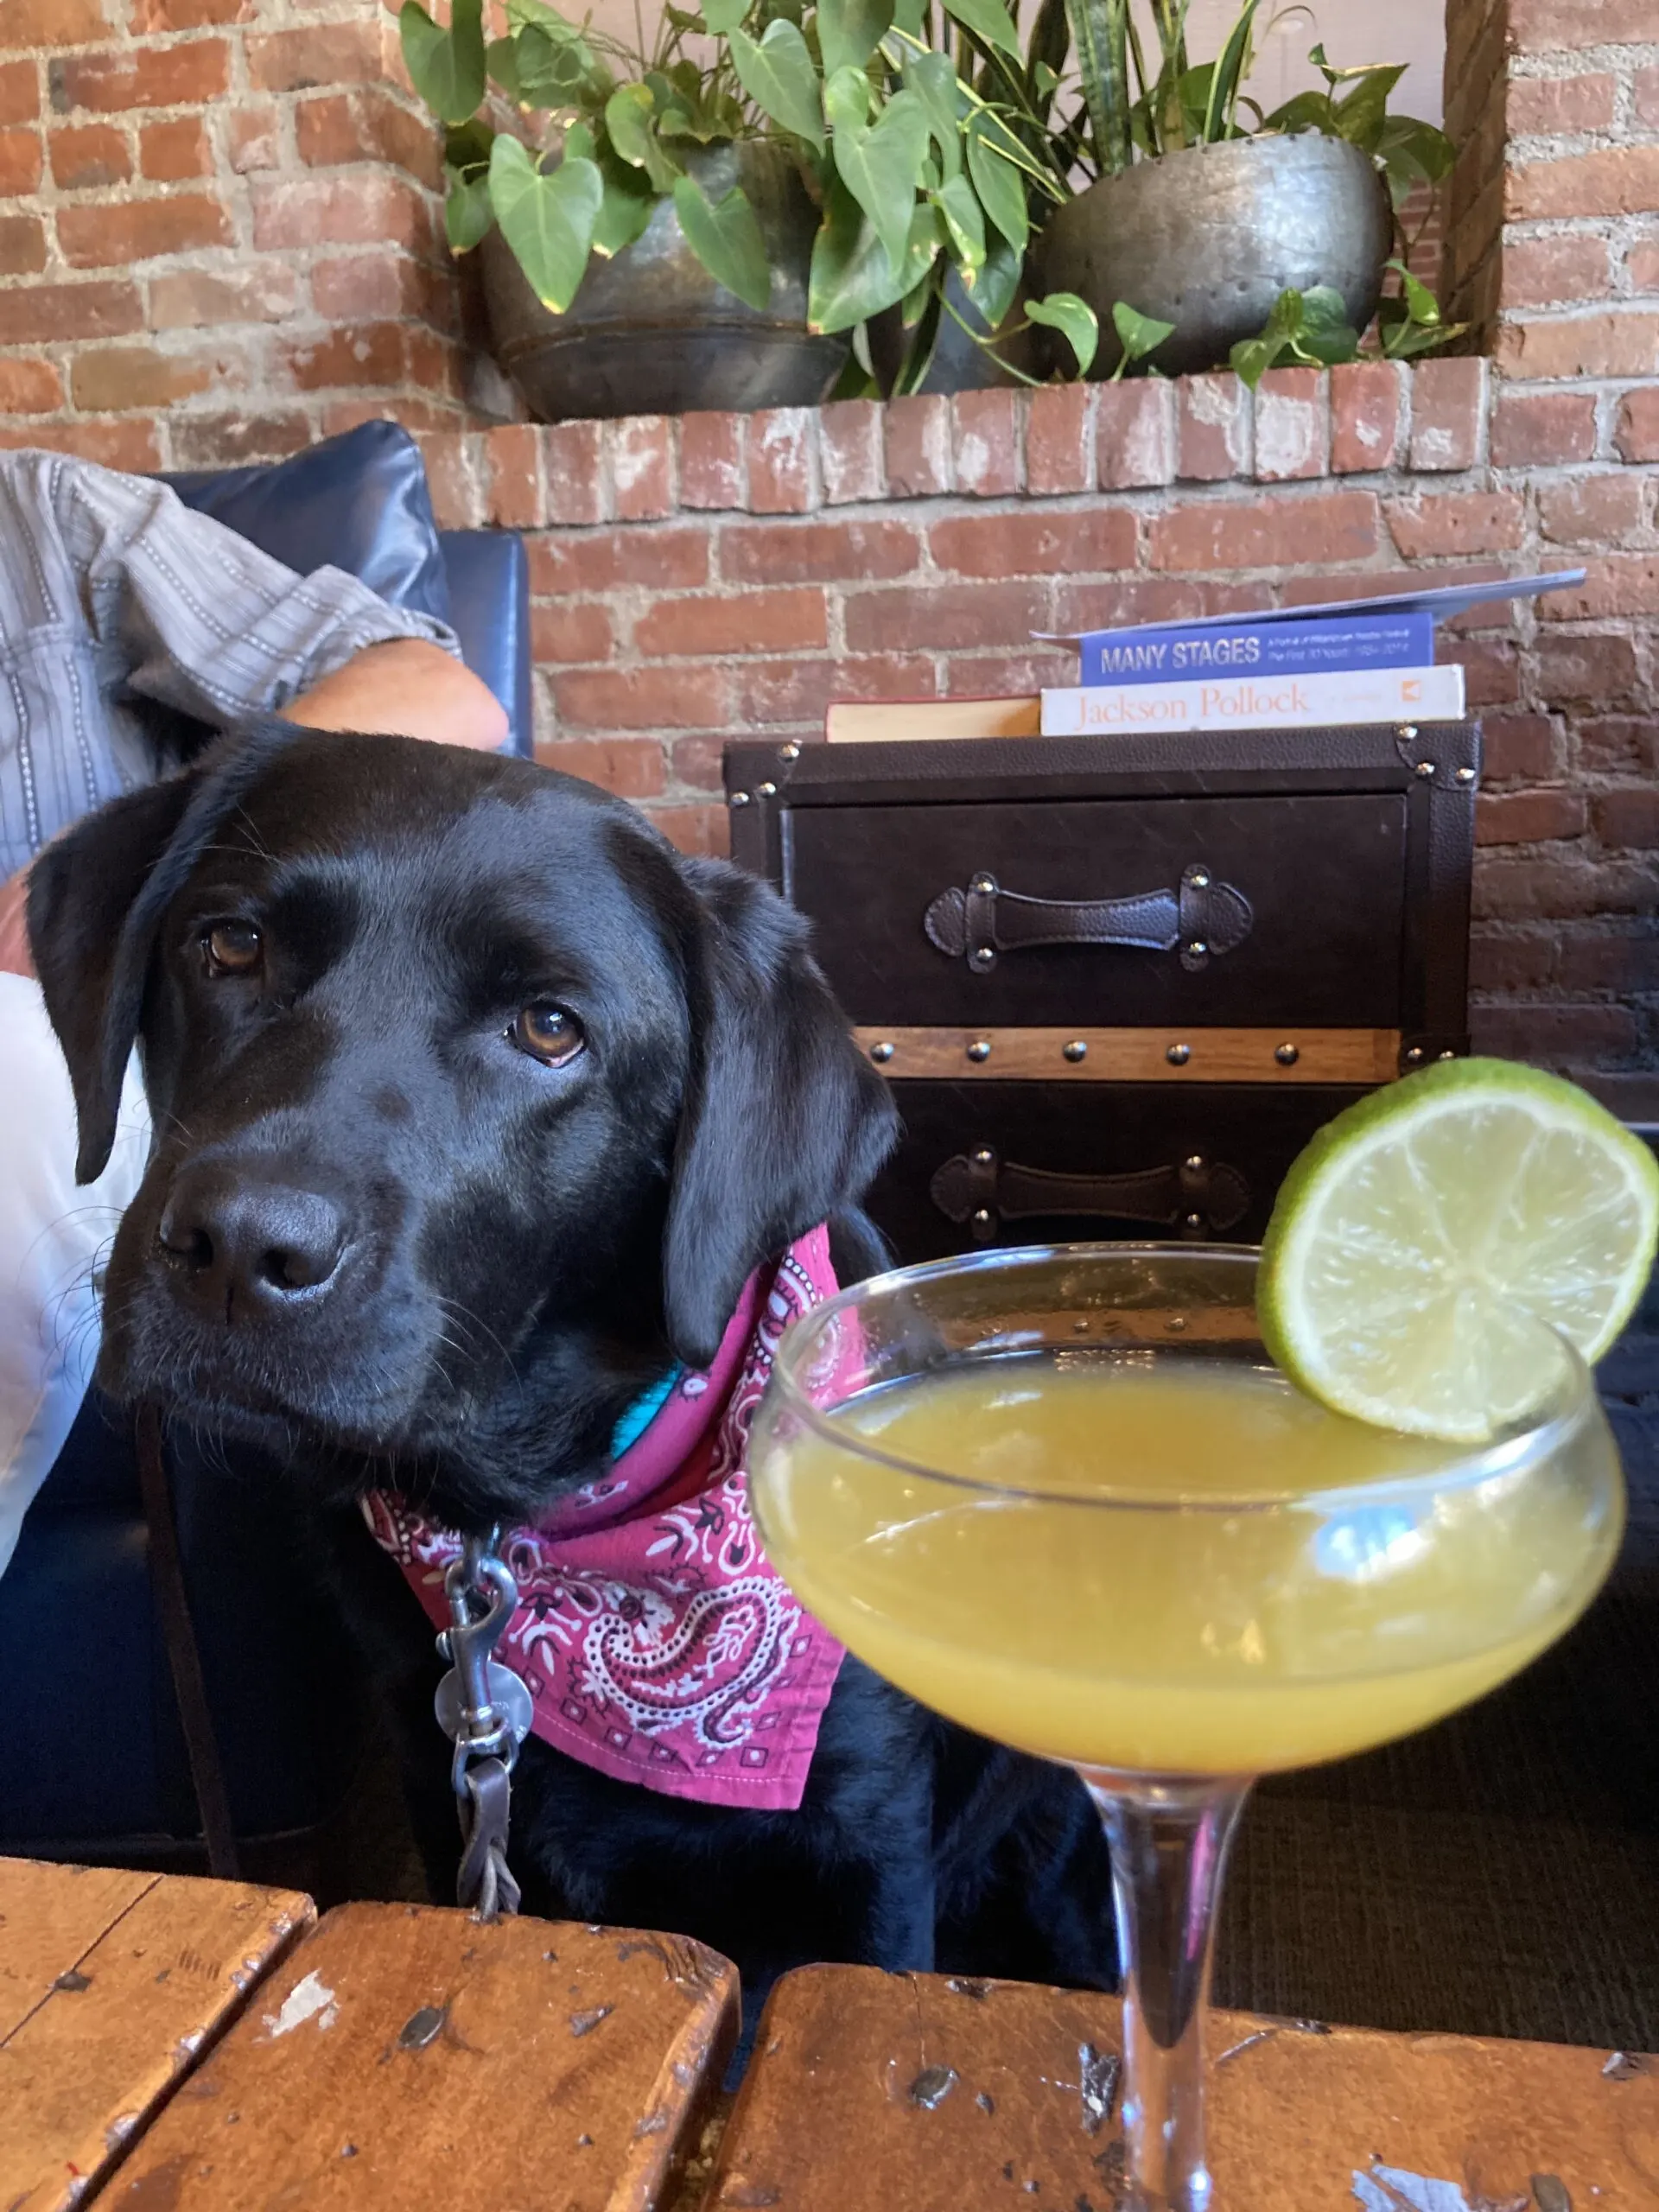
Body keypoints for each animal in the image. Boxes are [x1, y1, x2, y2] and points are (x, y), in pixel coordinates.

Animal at [32, 716, 1119, 2017]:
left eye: (551, 1029)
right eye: (229, 944)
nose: (241, 1247)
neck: (528, 1514)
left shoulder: (864, 1851)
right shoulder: (438, 1781)